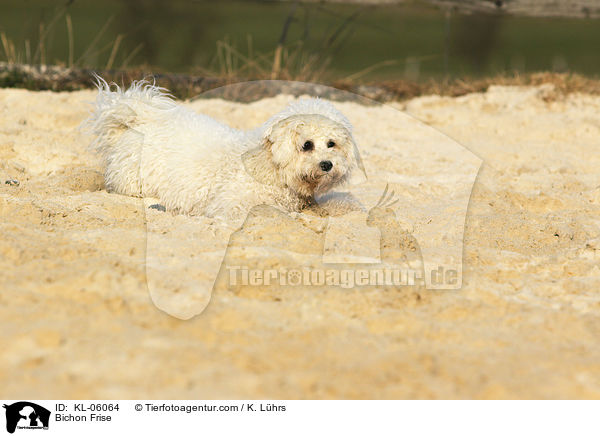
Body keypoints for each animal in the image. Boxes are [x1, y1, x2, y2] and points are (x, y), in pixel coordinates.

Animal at [85, 78, 360, 220]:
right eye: (307, 145)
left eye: (332, 143)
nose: (327, 165)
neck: (267, 165)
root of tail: (139, 119)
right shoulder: (232, 204)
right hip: (134, 179)